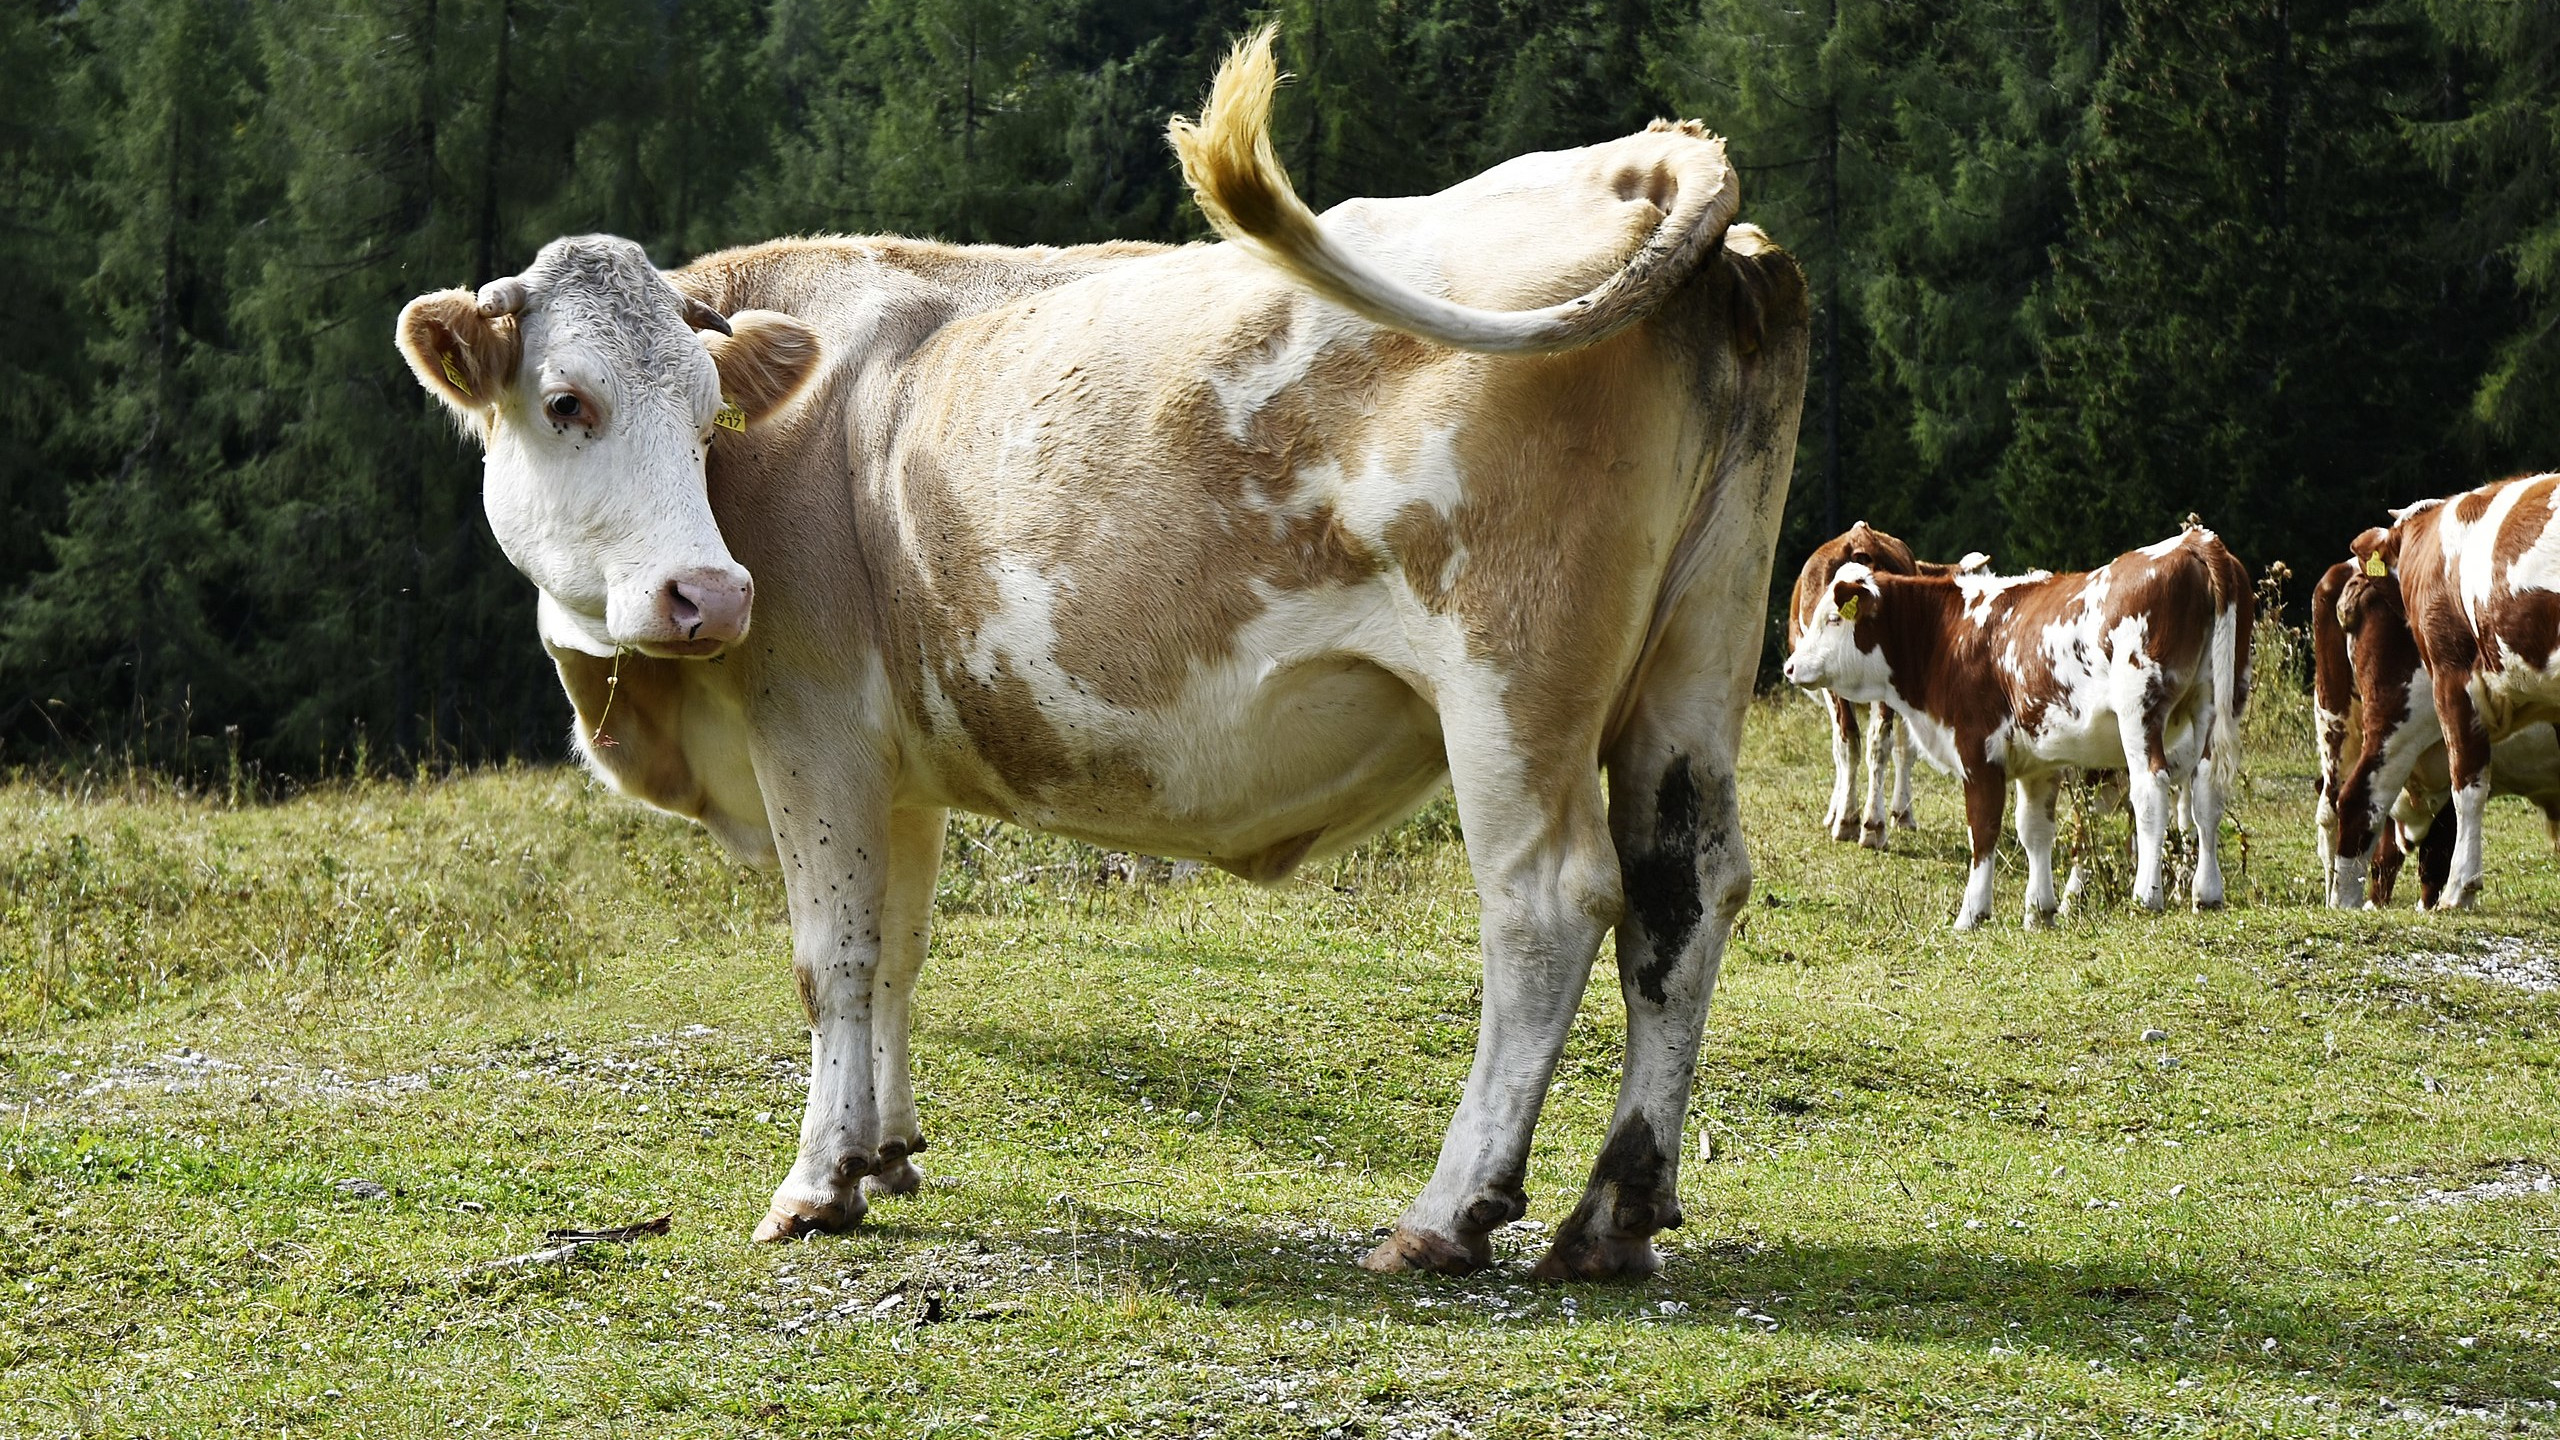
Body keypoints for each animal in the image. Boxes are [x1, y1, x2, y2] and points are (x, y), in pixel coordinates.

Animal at [390, 28, 1808, 1281]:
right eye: (568, 402)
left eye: (704, 415)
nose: (708, 594)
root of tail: (1643, 160)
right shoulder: (898, 768)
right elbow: (899, 948)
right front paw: (888, 1153)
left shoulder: (814, 729)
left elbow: (831, 957)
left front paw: (817, 1183)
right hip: (1694, 657)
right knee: (1684, 892)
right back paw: (1613, 1215)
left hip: (1509, 682)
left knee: (1548, 904)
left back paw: (1447, 1215)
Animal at [1783, 522, 1987, 847]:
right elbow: (1901, 748)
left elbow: (1846, 750)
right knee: (1876, 743)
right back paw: (1870, 824)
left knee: (1855, 743)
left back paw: (1855, 822)